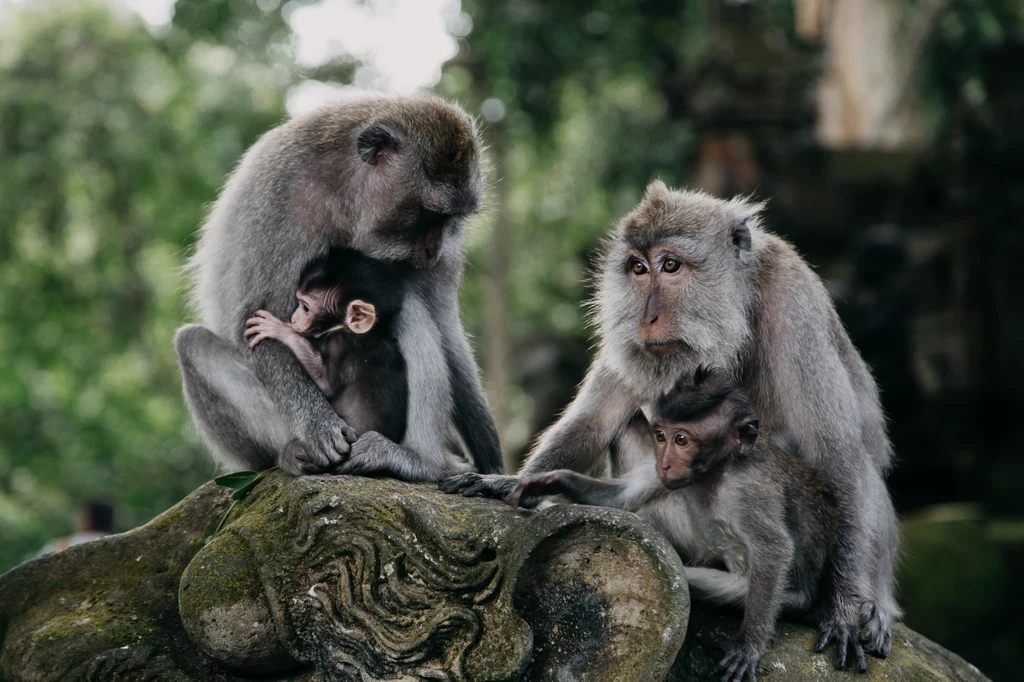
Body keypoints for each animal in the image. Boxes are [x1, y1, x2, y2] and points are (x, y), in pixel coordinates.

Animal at [243, 246, 407, 444]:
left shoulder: (342, 344)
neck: (373, 333)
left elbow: (325, 383)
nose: (294, 318)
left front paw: (281, 330)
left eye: (305, 308)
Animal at [444, 179, 901, 667]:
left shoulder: (793, 307)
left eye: (670, 265)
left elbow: (838, 456)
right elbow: (594, 422)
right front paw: (509, 483)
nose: (646, 318)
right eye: (638, 269)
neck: (736, 318)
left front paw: (845, 609)